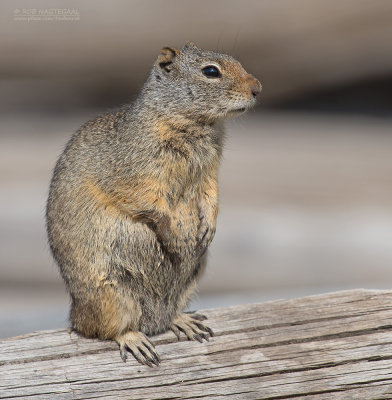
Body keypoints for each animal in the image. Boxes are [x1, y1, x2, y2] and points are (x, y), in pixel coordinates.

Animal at [46, 41, 260, 366]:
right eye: (211, 71)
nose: (258, 88)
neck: (194, 125)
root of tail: (76, 313)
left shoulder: (209, 172)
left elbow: (211, 196)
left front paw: (209, 227)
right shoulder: (135, 175)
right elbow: (151, 204)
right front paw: (175, 234)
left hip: (191, 279)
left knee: (165, 316)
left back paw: (183, 321)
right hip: (111, 296)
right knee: (104, 330)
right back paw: (135, 340)